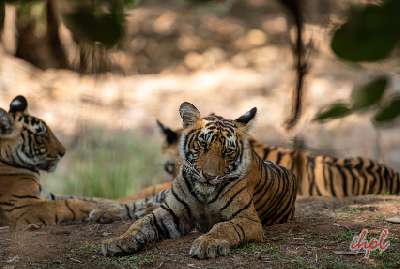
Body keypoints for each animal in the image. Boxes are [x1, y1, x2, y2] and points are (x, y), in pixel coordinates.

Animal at [0, 95, 119, 229]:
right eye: (40, 135)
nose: (63, 152)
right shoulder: (23, 206)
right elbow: (67, 203)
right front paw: (94, 208)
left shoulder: (46, 194)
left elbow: (84, 197)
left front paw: (112, 205)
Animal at [100, 101, 296, 258]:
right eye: (203, 144)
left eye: (228, 151)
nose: (209, 176)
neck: (205, 195)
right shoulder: (171, 212)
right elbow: (140, 224)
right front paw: (118, 241)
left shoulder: (248, 219)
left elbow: (224, 227)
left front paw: (208, 243)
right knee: (142, 204)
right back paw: (103, 212)